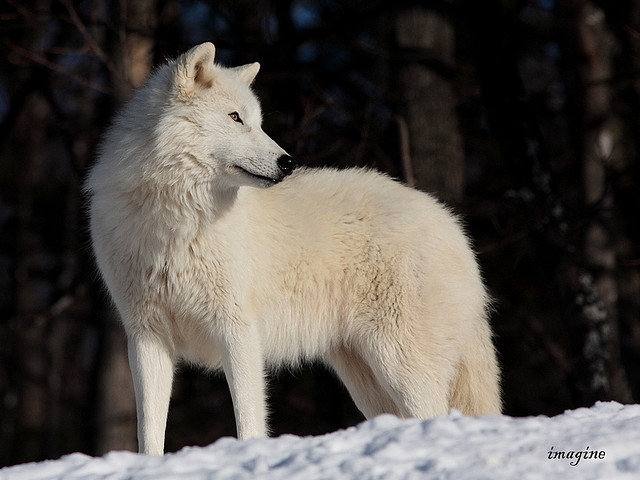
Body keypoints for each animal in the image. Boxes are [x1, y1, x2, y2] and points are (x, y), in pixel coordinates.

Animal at [86, 43, 500, 456]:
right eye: (235, 117)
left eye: (258, 121)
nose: (288, 162)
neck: (175, 218)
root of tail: (452, 225)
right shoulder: (145, 335)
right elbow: (149, 431)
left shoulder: (237, 329)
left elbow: (248, 418)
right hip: (366, 378)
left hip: (400, 364)